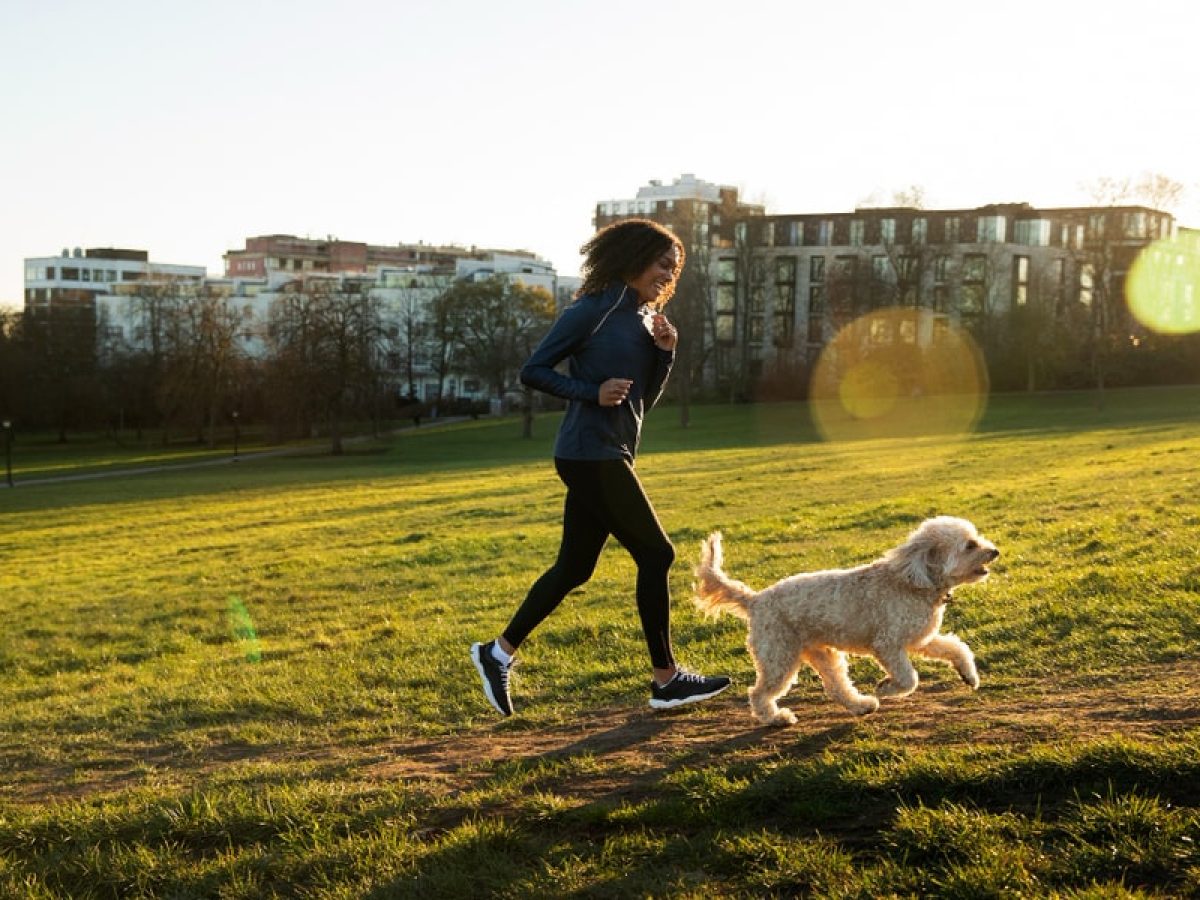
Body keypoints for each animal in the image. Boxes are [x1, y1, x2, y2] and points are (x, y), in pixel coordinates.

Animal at [691, 518, 998, 729]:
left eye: (976, 538)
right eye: (970, 545)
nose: (995, 551)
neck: (915, 582)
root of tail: (755, 600)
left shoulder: (922, 640)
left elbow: (957, 648)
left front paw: (969, 676)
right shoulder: (888, 645)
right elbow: (909, 678)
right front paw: (886, 687)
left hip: (823, 655)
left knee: (836, 687)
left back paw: (861, 705)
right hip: (779, 658)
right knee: (758, 693)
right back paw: (776, 718)